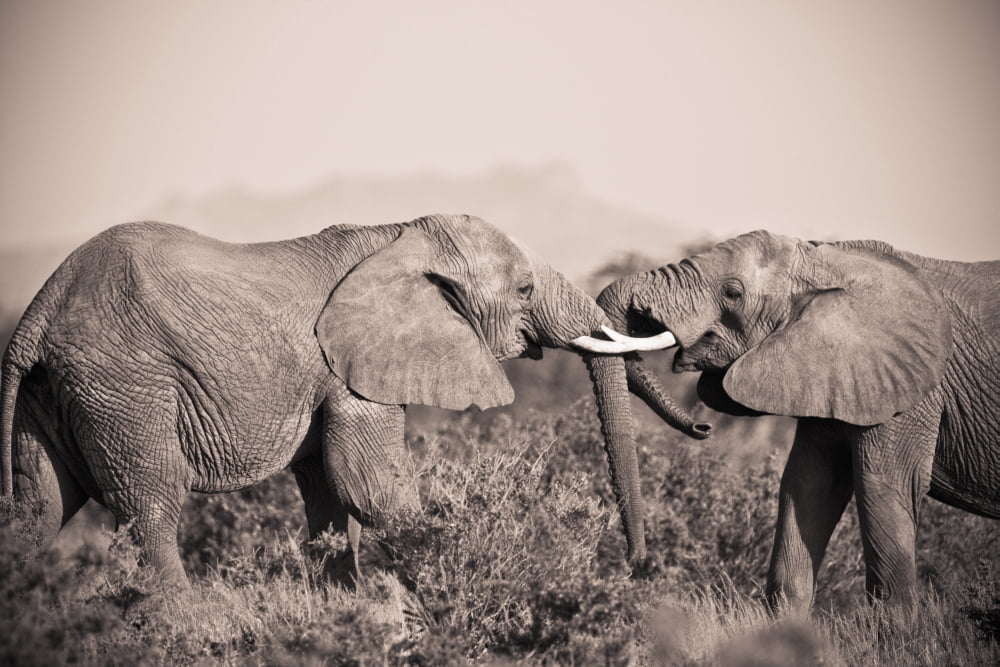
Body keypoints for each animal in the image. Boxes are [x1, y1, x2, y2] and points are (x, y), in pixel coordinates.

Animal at [0, 213, 696, 589]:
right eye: (524, 289)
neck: (401, 235)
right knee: (151, 507)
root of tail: (36, 312)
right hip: (123, 383)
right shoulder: (350, 373)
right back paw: (186, 629)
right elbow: (370, 486)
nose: (636, 566)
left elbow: (330, 495)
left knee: (37, 510)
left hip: (55, 393)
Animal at [576, 230, 999, 612]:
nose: (636, 565)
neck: (832, 262)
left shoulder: (913, 391)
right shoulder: (831, 374)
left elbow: (883, 488)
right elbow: (807, 484)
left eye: (733, 293)